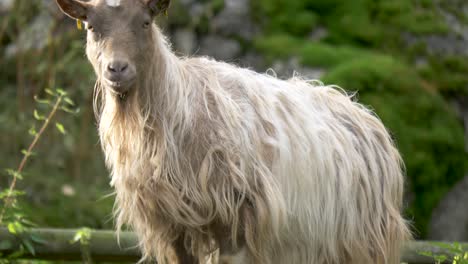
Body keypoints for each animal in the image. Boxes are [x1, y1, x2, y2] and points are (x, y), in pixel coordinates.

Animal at [56, 0, 412, 262]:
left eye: (145, 22)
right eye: (91, 26)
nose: (116, 69)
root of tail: (363, 113)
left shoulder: (237, 217)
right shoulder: (171, 224)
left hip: (365, 239)